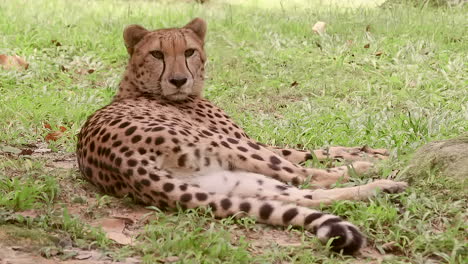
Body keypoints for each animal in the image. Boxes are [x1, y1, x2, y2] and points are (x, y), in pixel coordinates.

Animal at [76, 18, 406, 254]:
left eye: (189, 51)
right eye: (157, 54)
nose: (179, 80)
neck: (138, 87)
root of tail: (123, 163)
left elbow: (313, 148)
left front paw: (368, 150)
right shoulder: (245, 139)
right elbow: (306, 154)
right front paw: (371, 155)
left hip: (227, 181)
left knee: (303, 195)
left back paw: (383, 187)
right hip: (230, 148)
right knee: (307, 178)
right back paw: (375, 171)